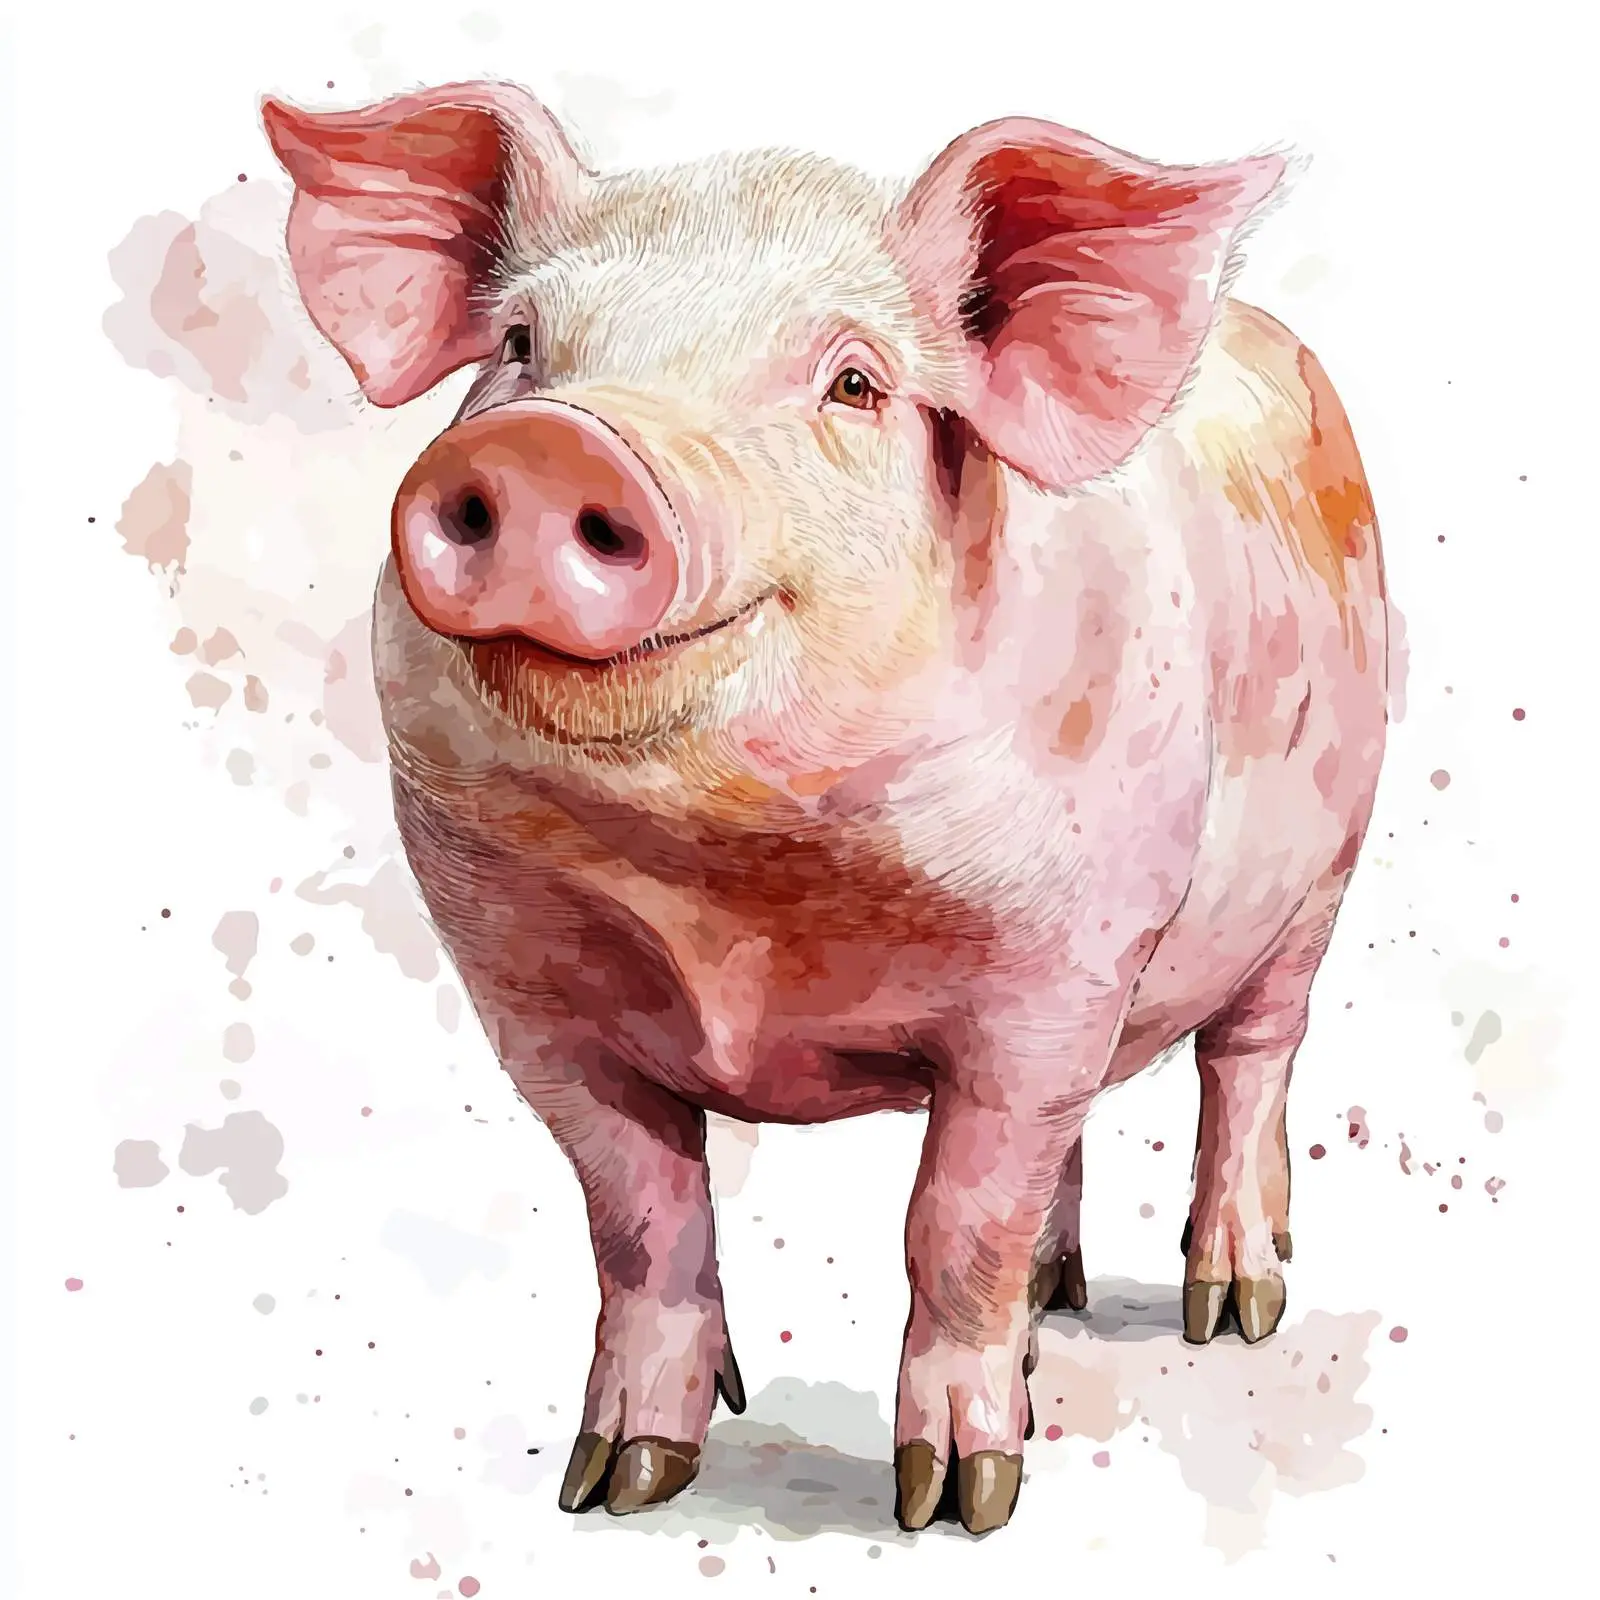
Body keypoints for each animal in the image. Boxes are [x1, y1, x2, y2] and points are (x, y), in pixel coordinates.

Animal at [262, 78, 1388, 1536]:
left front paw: (956, 1505)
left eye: (853, 382)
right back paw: (1055, 1308)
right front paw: (616, 1485)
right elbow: (639, 1212)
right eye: (517, 347)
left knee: (1249, 1058)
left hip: (1328, 858)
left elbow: (955, 1219)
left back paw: (1232, 1310)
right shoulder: (519, 985)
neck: (727, 885)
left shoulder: (1055, 964)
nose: (555, 443)